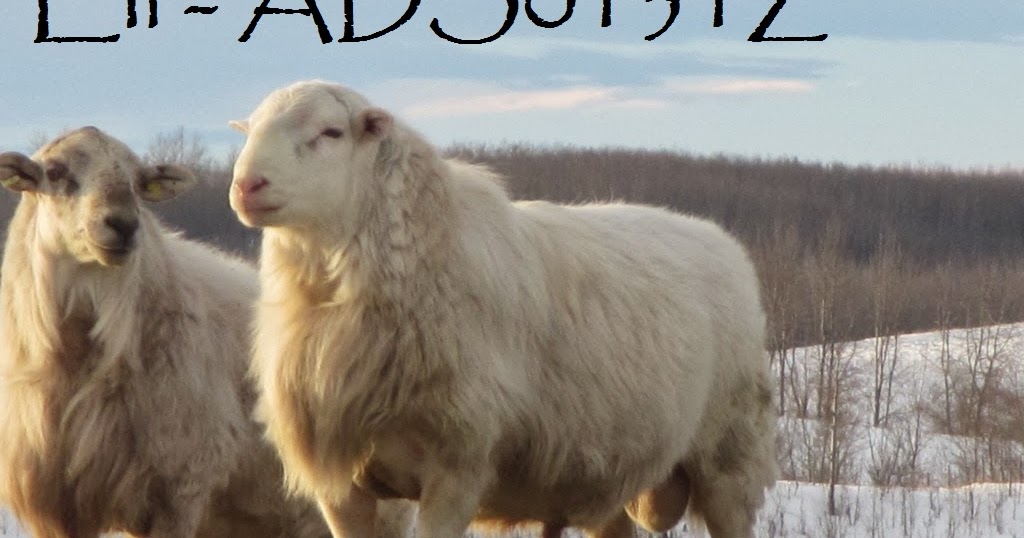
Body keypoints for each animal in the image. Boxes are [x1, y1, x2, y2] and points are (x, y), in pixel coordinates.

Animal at [229, 80, 777, 538]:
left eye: (331, 131)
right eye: (250, 129)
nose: (246, 186)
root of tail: (719, 238)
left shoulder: (457, 468)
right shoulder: (344, 484)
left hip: (729, 459)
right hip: (608, 474)